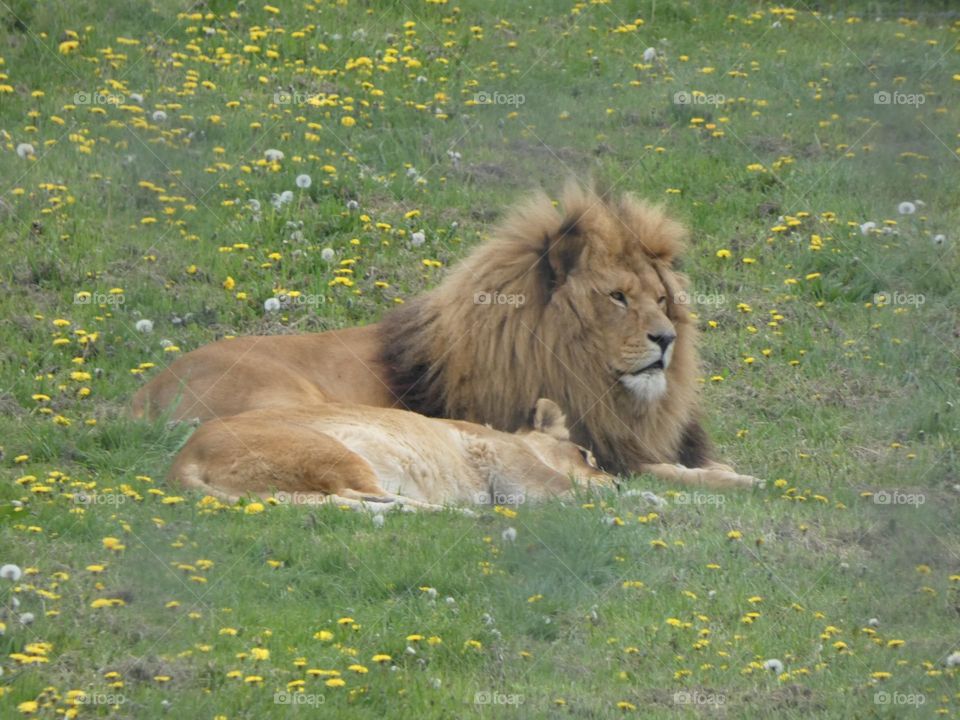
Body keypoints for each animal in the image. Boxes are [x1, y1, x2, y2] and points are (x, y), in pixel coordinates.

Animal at [134, 183, 760, 489]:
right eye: (618, 298)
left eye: (662, 300)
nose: (665, 339)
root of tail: (141, 393)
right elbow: (664, 474)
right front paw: (741, 480)